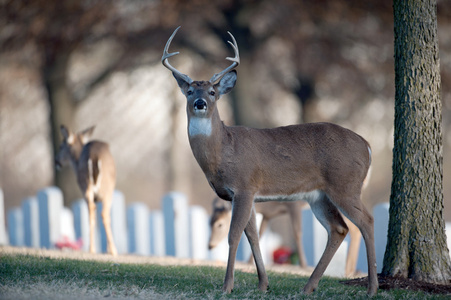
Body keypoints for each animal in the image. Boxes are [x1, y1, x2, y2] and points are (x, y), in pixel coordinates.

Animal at [55, 125, 118, 256]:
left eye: (61, 146)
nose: (56, 161)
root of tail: (94, 156)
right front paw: (108, 249)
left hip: (89, 187)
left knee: (93, 211)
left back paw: (98, 249)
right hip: (104, 189)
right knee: (101, 213)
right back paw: (107, 250)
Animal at [162, 26, 378, 296]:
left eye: (212, 92)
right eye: (190, 91)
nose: (200, 103)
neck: (223, 150)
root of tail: (367, 145)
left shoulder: (244, 186)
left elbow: (234, 235)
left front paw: (227, 286)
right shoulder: (247, 195)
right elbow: (253, 236)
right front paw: (263, 284)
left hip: (345, 185)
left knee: (366, 221)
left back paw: (372, 288)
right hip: (319, 195)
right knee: (339, 229)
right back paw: (308, 287)